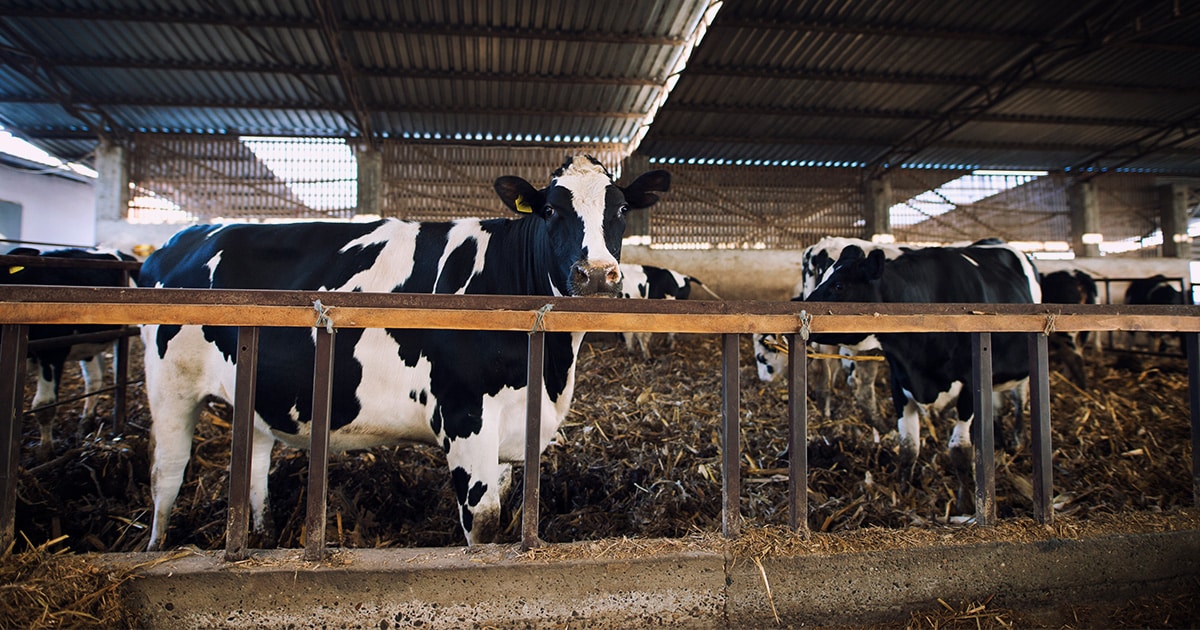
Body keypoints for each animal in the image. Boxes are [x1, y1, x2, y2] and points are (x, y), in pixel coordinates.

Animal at [1, 243, 138, 453]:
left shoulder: (53, 353)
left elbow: (44, 406)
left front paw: (45, 452)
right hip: (90, 341)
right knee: (95, 379)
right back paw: (87, 421)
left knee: (117, 373)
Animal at [138, 154, 676, 547]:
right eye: (549, 211)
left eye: (621, 210)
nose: (597, 275)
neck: (548, 372)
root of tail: (179, 239)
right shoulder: (463, 417)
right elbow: (483, 521)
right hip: (171, 387)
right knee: (166, 474)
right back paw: (157, 547)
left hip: (253, 388)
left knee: (253, 464)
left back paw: (264, 535)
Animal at [806, 238, 1041, 513]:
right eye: (822, 278)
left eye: (838, 285)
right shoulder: (900, 380)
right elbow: (909, 446)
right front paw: (903, 494)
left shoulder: (970, 385)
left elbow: (959, 450)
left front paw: (965, 503)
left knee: (1019, 400)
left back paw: (1017, 439)